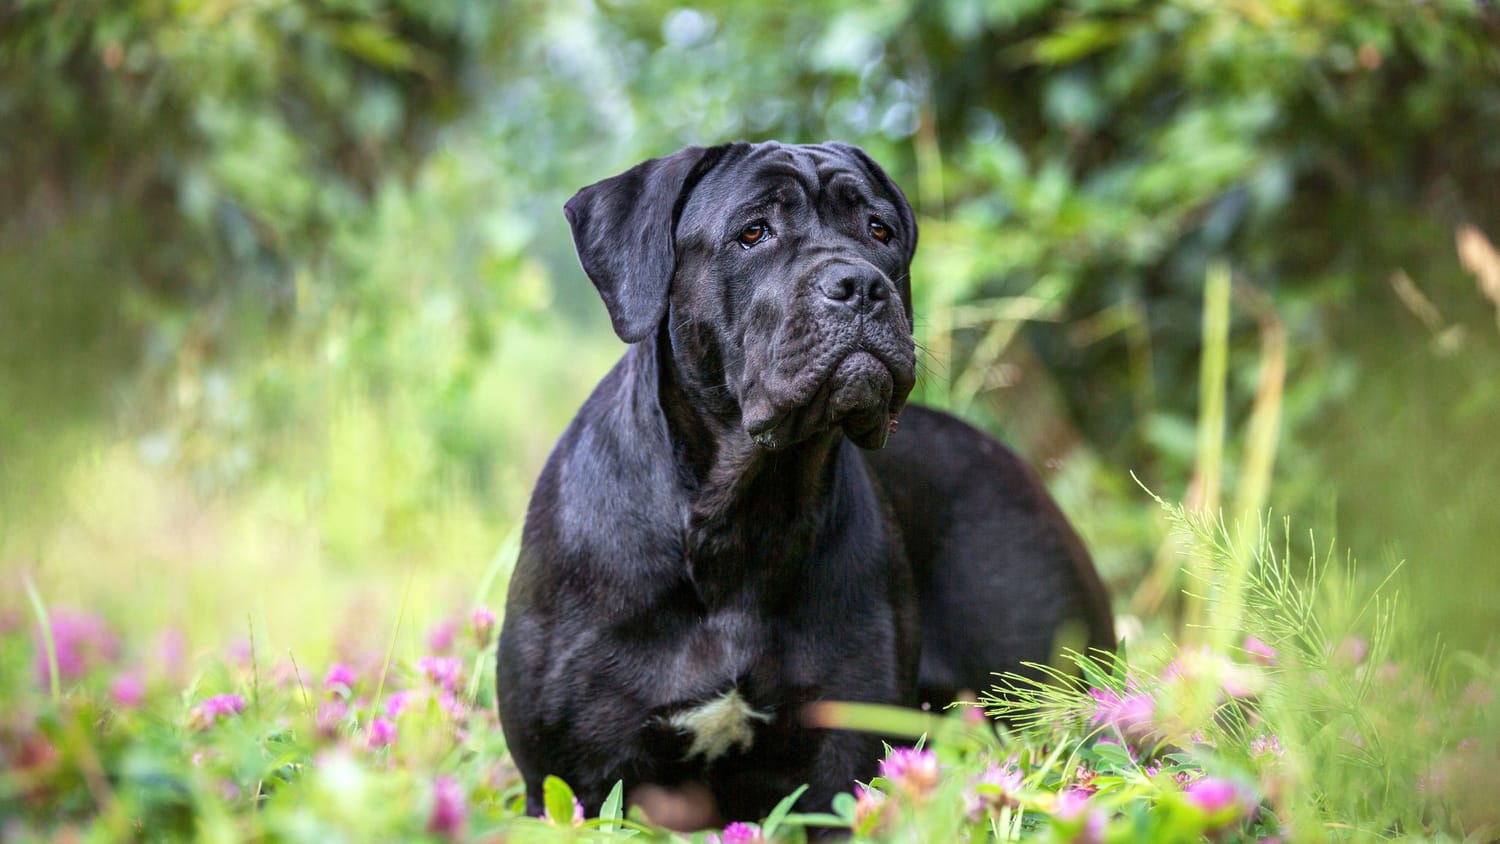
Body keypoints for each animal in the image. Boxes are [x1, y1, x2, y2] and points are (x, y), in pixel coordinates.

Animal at [498, 141, 1122, 821]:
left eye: (879, 230)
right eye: (753, 233)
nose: (861, 286)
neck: (742, 512)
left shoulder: (838, 765)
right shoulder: (579, 777)